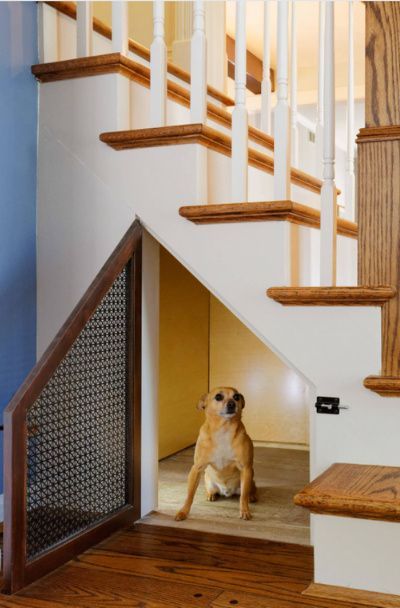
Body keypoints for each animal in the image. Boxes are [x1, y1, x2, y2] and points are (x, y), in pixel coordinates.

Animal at [175, 388, 256, 520]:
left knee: (249, 490)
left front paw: (245, 511)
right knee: (211, 490)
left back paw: (252, 496)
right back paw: (211, 495)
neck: (223, 430)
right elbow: (189, 495)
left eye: (236, 397)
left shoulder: (246, 468)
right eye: (218, 397)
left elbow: (243, 497)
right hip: (209, 482)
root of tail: (227, 492)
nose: (232, 404)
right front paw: (183, 512)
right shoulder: (196, 468)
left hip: (250, 477)